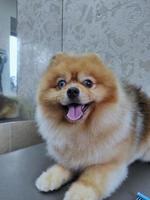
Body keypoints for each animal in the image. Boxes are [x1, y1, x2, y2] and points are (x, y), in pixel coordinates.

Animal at [35, 53, 150, 200]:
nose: (72, 91)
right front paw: (50, 176)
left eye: (88, 83)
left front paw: (79, 193)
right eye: (61, 83)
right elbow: (63, 165)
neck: (80, 130)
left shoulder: (109, 163)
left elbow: (92, 177)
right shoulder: (70, 156)